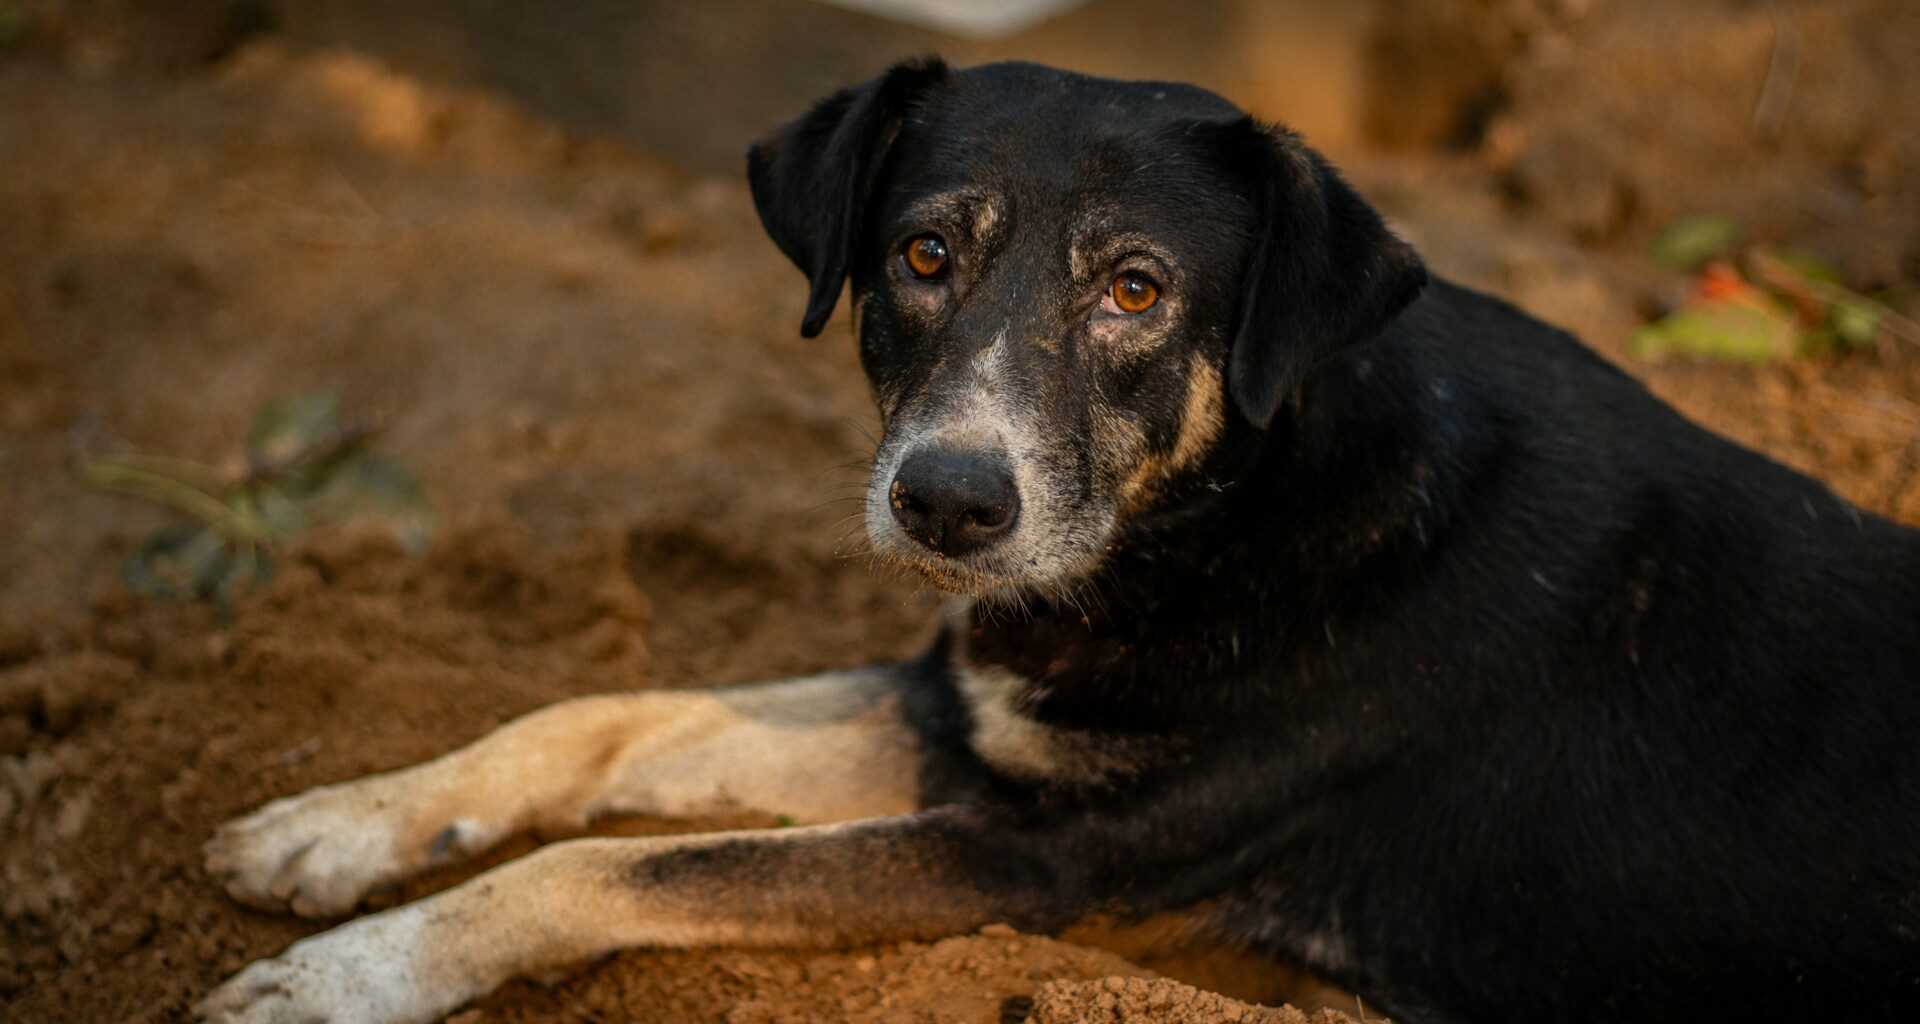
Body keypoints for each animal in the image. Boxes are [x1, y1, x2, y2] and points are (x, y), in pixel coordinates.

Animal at [187, 61, 1912, 1022]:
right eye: (920, 255)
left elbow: (620, 866)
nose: (950, 503)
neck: (1225, 524)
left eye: (1136, 291)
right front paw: (337, 827)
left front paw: (345, 981)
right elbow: (602, 719)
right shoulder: (963, 719)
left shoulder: (1036, 856)